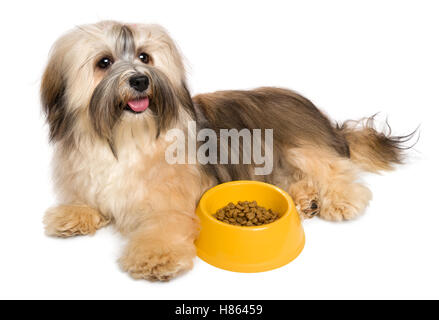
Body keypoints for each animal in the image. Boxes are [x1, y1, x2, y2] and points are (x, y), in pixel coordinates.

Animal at [41, 20, 416, 280]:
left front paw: (156, 258)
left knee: (337, 171)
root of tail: (318, 114)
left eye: (145, 57)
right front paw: (70, 216)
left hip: (300, 147)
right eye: (103, 62)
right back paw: (305, 200)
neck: (127, 138)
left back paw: (339, 200)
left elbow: (163, 226)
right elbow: (87, 200)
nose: (140, 80)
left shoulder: (169, 204)